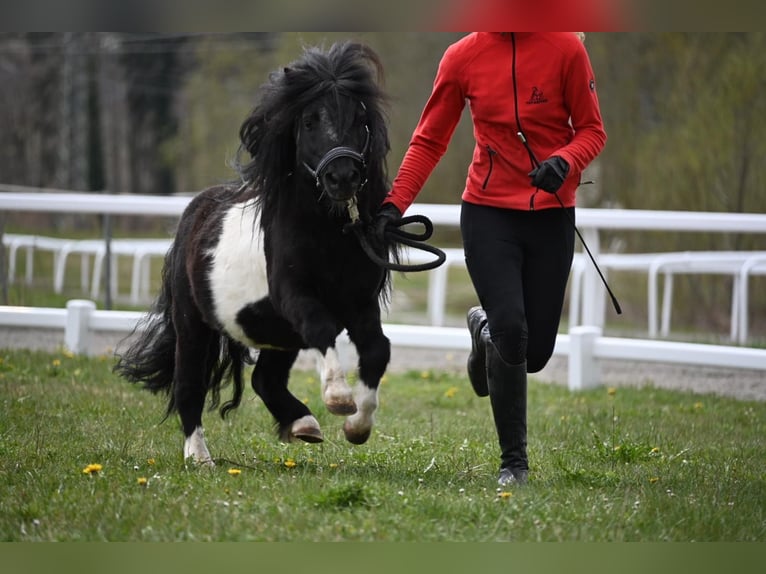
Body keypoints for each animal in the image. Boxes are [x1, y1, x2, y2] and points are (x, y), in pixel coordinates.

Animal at [118, 41, 402, 468]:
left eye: (359, 118)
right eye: (309, 121)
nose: (343, 178)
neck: (327, 235)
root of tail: (194, 214)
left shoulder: (359, 304)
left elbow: (377, 350)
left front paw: (358, 425)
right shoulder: (295, 296)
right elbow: (324, 328)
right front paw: (338, 398)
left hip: (280, 336)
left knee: (264, 379)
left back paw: (303, 424)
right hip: (193, 325)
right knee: (189, 385)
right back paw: (200, 457)